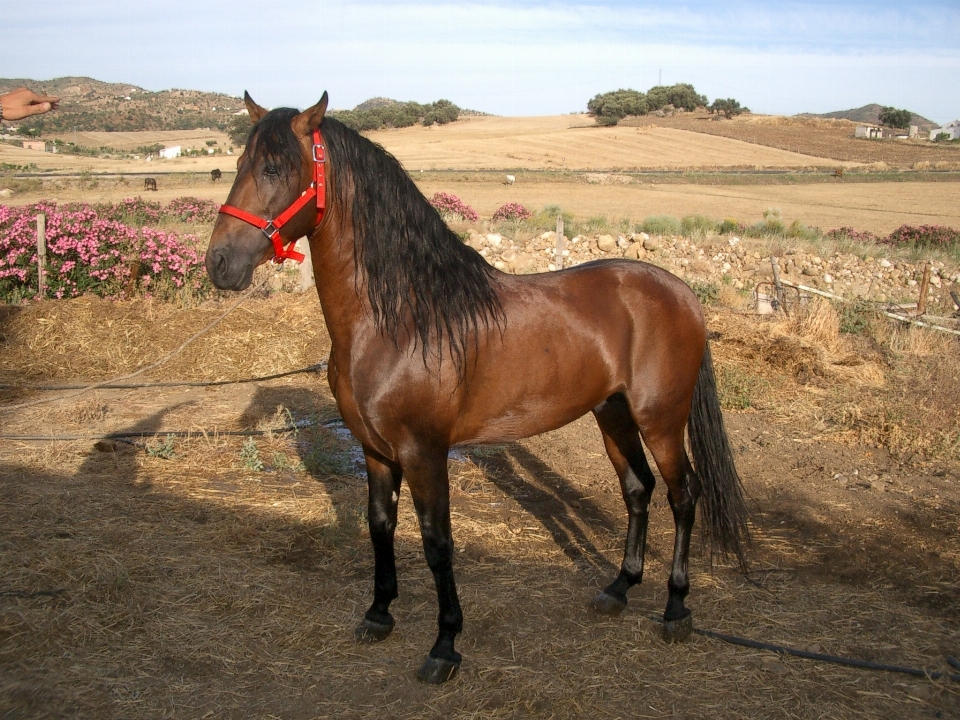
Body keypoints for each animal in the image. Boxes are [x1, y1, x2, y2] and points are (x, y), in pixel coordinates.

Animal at [204, 91, 752, 688]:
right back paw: (618, 588)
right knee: (638, 489)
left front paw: (445, 645)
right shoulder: (375, 451)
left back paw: (676, 609)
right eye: (239, 165)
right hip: (613, 415)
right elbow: (380, 527)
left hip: (661, 420)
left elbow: (437, 542)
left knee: (683, 494)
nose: (218, 264)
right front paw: (379, 614)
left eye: (275, 169)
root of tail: (681, 292)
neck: (400, 320)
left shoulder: (424, 452)